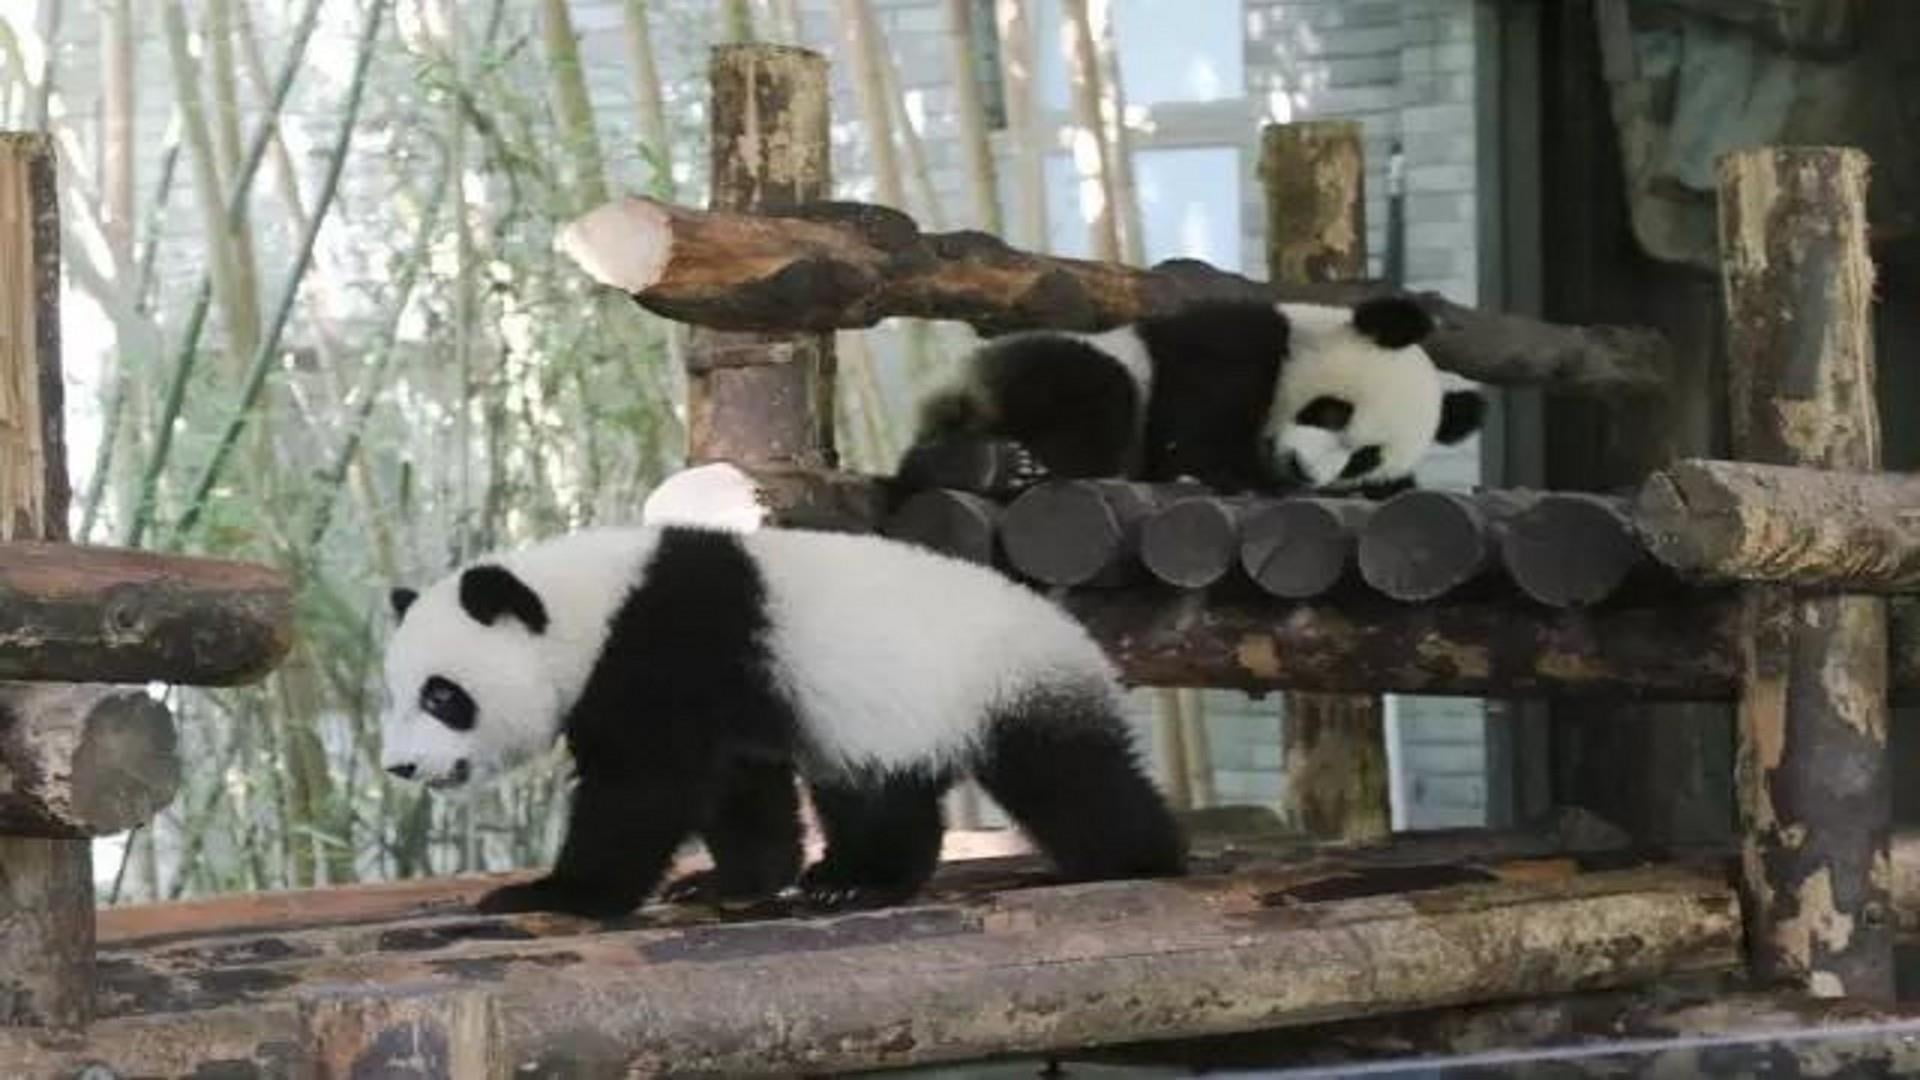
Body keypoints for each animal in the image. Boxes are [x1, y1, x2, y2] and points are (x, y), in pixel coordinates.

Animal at [380, 522, 1186, 918]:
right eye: (396, 695)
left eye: (442, 695)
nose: (403, 767)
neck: (588, 606)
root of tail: (1071, 628)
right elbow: (739, 785)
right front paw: (732, 882)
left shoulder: (663, 644)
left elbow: (642, 789)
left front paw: (557, 894)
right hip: (883, 716)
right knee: (879, 793)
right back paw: (854, 880)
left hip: (1003, 681)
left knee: (1070, 778)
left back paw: (1136, 860)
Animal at [894, 295, 1486, 502]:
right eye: (1332, 410)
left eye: (1364, 458)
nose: (1303, 470)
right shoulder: (1237, 341)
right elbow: (1196, 419)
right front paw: (1232, 474)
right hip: (1043, 364)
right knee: (1100, 396)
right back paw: (986, 466)